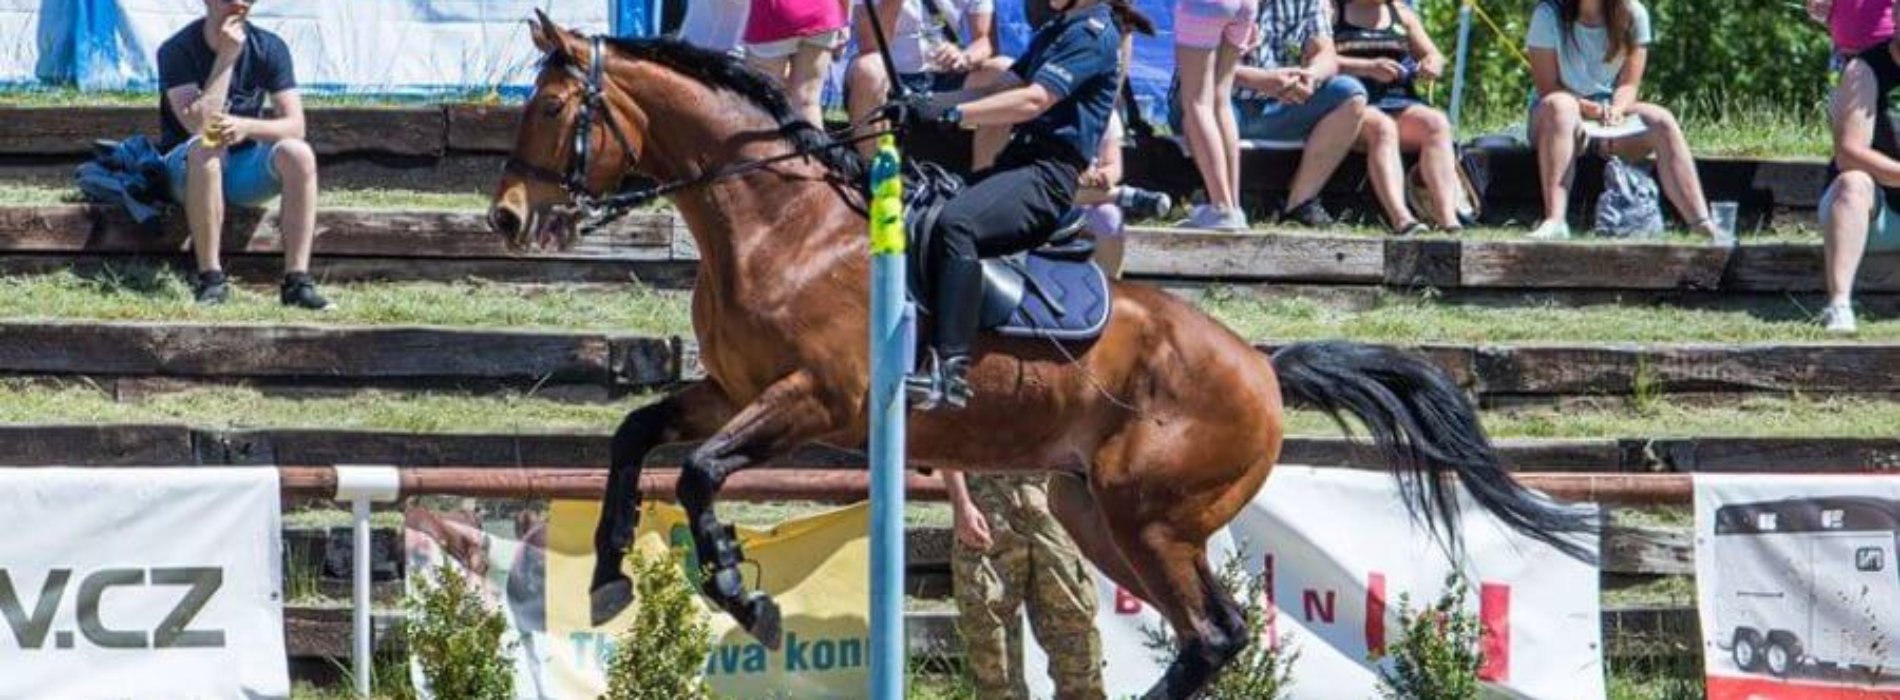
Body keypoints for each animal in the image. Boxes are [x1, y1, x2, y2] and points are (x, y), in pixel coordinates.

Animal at [490, 13, 1588, 696]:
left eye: (551, 108)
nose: (504, 218)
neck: (779, 225)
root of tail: (1262, 367)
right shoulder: (733, 389)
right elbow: (639, 438)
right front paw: (608, 572)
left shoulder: (816, 402)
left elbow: (701, 474)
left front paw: (738, 588)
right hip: (1095, 512)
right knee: (1212, 637)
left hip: (1152, 516)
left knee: (1215, 634)